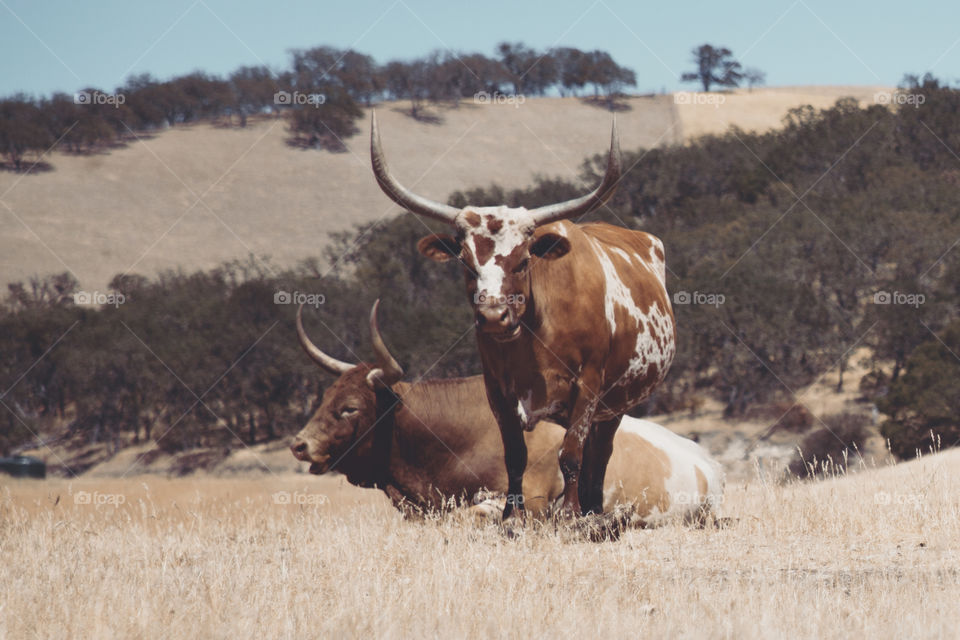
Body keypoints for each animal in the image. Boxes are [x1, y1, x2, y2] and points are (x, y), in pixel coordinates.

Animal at [368, 110, 676, 524]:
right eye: (465, 262)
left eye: (524, 259)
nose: (493, 316)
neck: (537, 333)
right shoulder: (497, 388)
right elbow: (515, 455)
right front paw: (511, 516)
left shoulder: (589, 383)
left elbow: (572, 454)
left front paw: (569, 515)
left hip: (614, 404)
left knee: (598, 455)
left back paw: (591, 510)